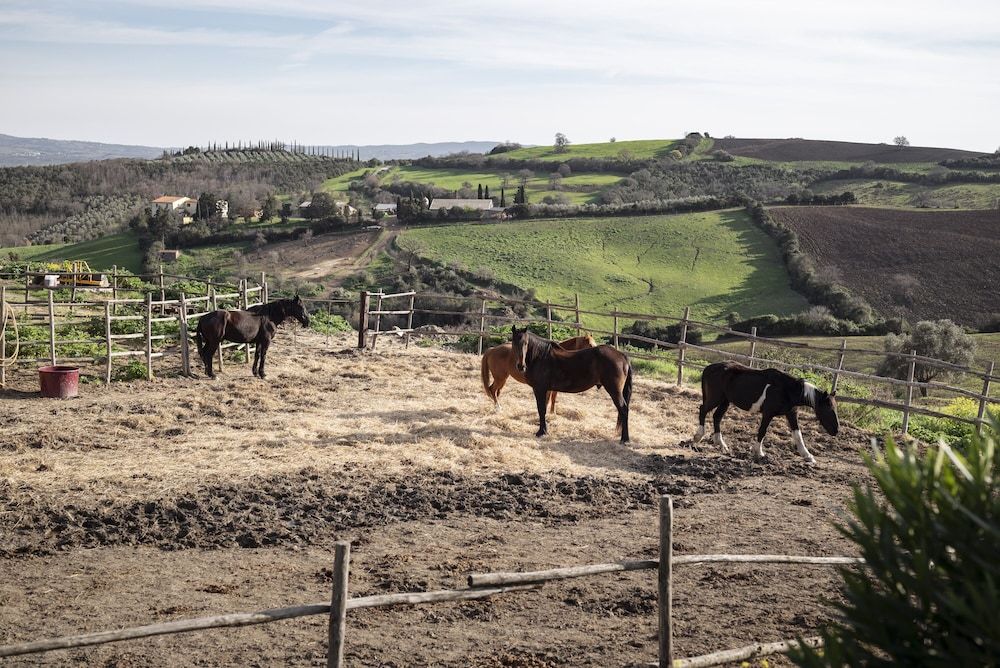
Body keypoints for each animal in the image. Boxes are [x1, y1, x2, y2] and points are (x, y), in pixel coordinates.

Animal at [692, 360, 840, 464]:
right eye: (828, 409)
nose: (836, 430)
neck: (786, 389)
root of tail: (708, 368)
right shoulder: (768, 413)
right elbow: (762, 431)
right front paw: (758, 452)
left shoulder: (791, 414)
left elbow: (798, 435)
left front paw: (808, 456)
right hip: (715, 398)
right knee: (703, 410)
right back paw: (697, 437)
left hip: (725, 401)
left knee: (716, 417)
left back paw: (722, 445)